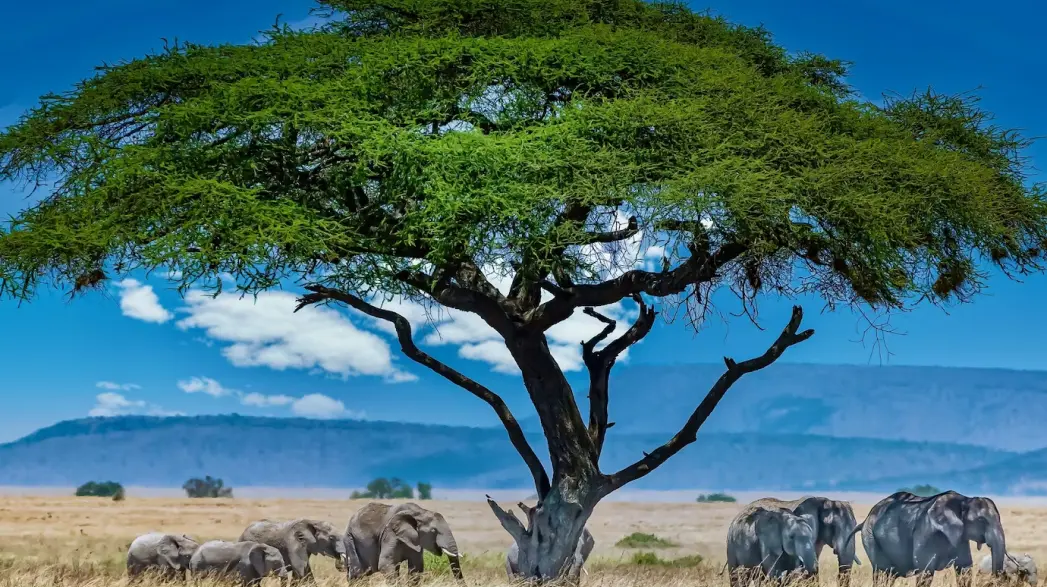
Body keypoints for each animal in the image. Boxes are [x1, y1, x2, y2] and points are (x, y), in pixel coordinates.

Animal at [850, 490, 1007, 587]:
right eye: (981, 520)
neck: (964, 500)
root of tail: (867, 518)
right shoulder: (925, 533)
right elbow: (925, 570)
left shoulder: (961, 537)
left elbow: (964, 569)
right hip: (870, 537)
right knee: (882, 573)